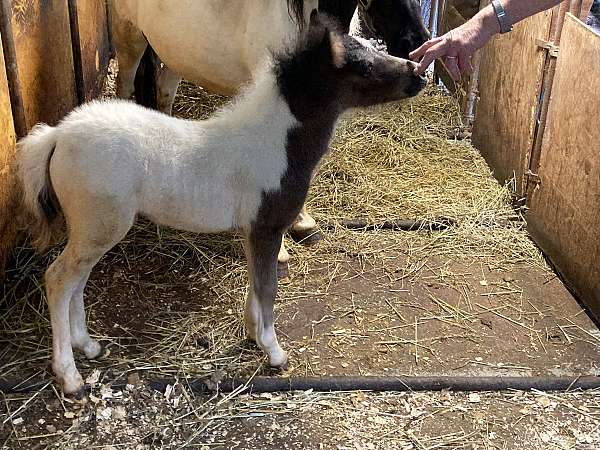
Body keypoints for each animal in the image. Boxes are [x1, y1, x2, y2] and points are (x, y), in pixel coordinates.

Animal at [106, 0, 426, 266]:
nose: (417, 43)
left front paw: (303, 223)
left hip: (177, 53)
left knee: (164, 94)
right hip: (129, 37)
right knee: (125, 85)